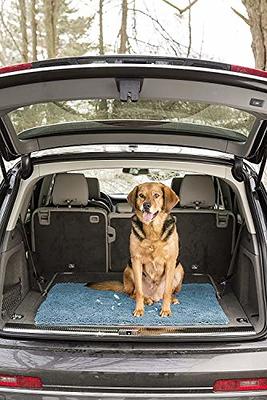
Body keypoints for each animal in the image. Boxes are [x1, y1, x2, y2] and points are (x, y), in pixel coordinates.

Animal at [87, 183, 184, 318]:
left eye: (156, 195)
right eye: (141, 195)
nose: (146, 205)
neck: (152, 233)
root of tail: (155, 296)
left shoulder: (170, 262)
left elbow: (167, 291)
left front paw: (165, 310)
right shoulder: (136, 260)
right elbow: (139, 291)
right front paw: (139, 310)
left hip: (179, 269)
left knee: (169, 292)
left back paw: (172, 299)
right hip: (129, 269)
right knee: (133, 293)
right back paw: (147, 300)